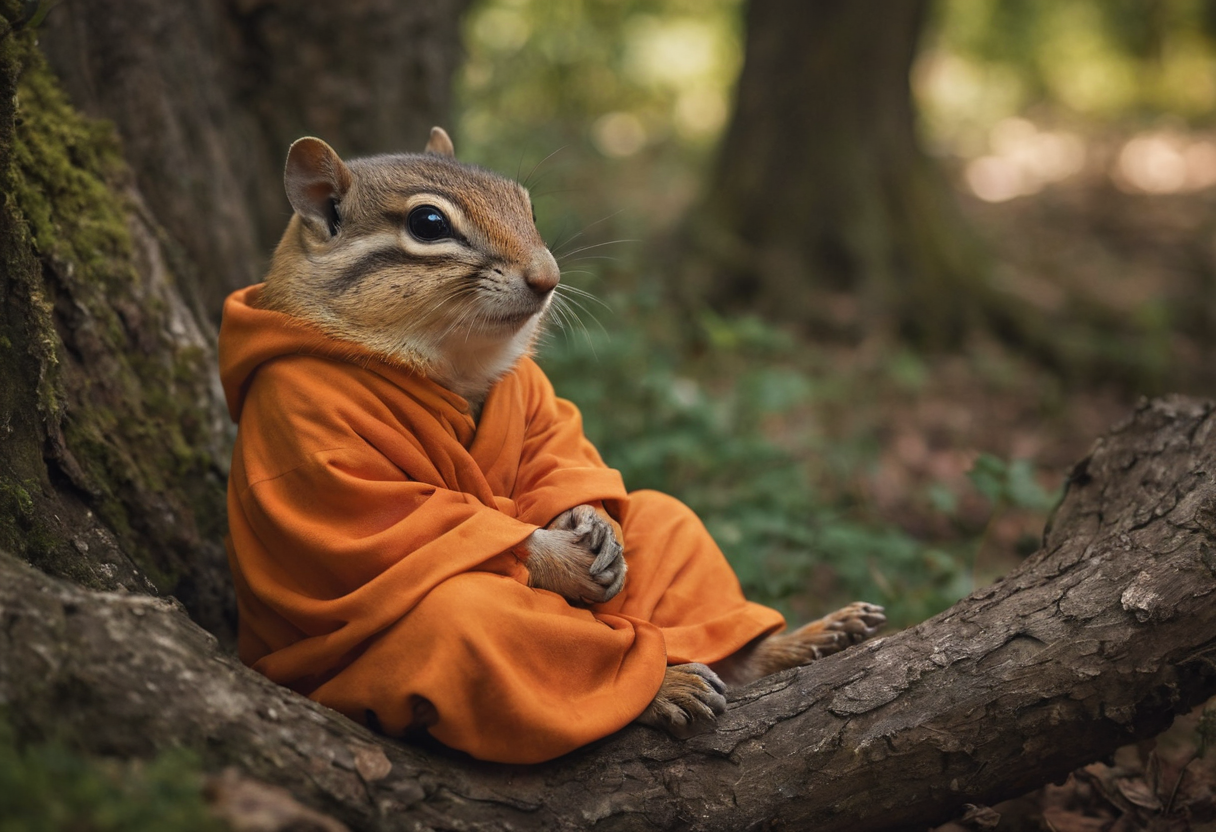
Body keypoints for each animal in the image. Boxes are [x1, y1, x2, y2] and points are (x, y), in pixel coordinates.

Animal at [252, 126, 885, 742]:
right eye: (428, 224)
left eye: (527, 205)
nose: (549, 278)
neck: (453, 365)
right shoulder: (316, 429)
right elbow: (406, 520)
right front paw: (560, 557)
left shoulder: (537, 398)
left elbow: (562, 460)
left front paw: (593, 521)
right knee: (480, 614)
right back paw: (665, 688)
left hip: (671, 527)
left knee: (668, 519)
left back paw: (808, 641)